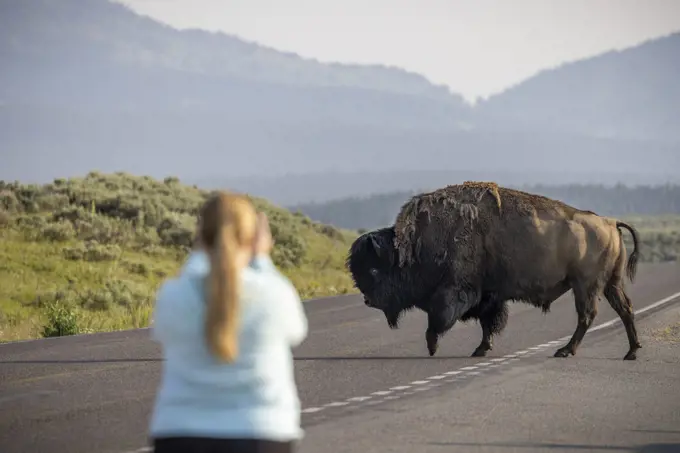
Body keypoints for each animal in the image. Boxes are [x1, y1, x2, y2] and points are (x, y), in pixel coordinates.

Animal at [348, 180, 640, 360]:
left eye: (374, 270)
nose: (368, 300)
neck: (414, 245)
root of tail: (610, 222)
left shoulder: (456, 291)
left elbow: (440, 319)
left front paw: (433, 346)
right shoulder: (489, 296)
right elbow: (488, 323)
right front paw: (481, 349)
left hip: (585, 286)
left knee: (587, 315)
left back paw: (565, 350)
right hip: (610, 284)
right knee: (624, 309)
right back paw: (631, 352)